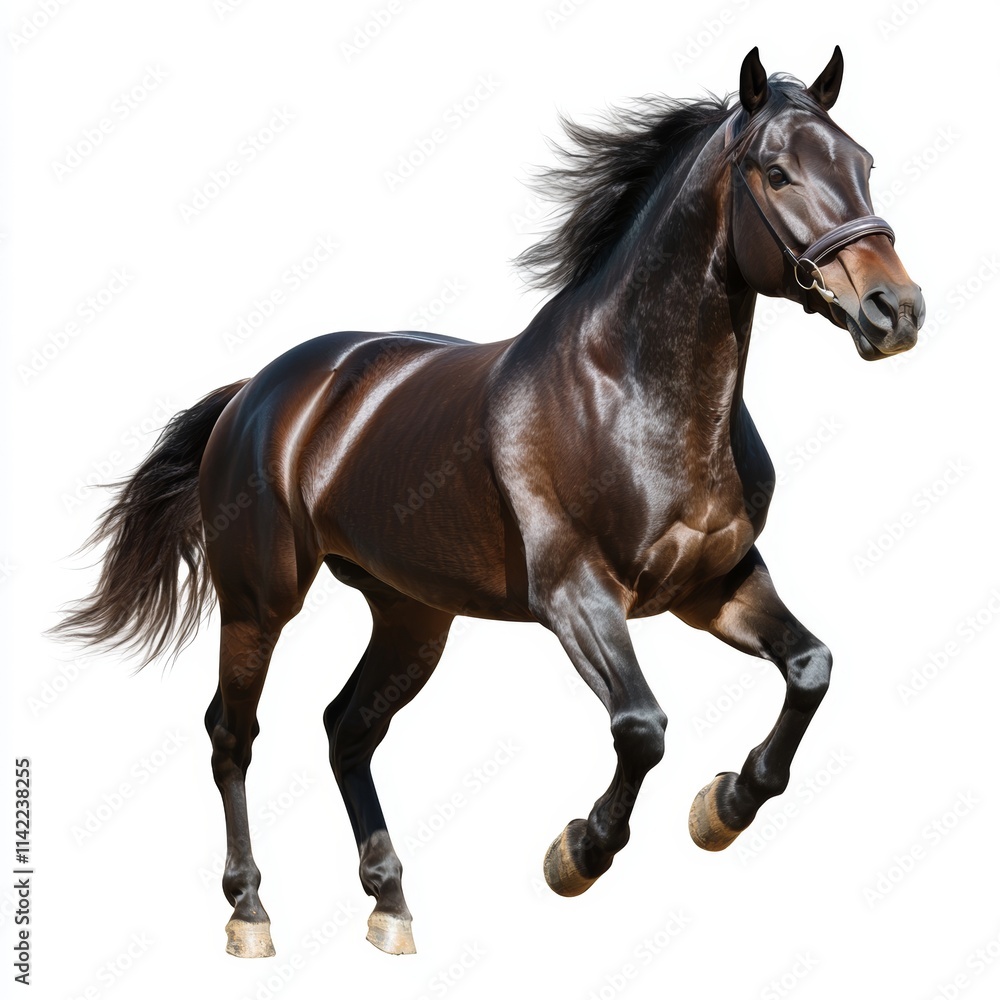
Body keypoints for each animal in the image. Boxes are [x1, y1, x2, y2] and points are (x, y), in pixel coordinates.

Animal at [55, 46, 924, 959]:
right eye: (777, 171)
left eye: (863, 163)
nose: (895, 311)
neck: (636, 397)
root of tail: (256, 390)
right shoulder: (576, 596)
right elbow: (642, 727)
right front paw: (577, 853)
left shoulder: (714, 585)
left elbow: (810, 667)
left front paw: (723, 806)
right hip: (260, 601)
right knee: (233, 734)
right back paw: (250, 912)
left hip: (413, 615)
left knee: (347, 727)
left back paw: (390, 905)